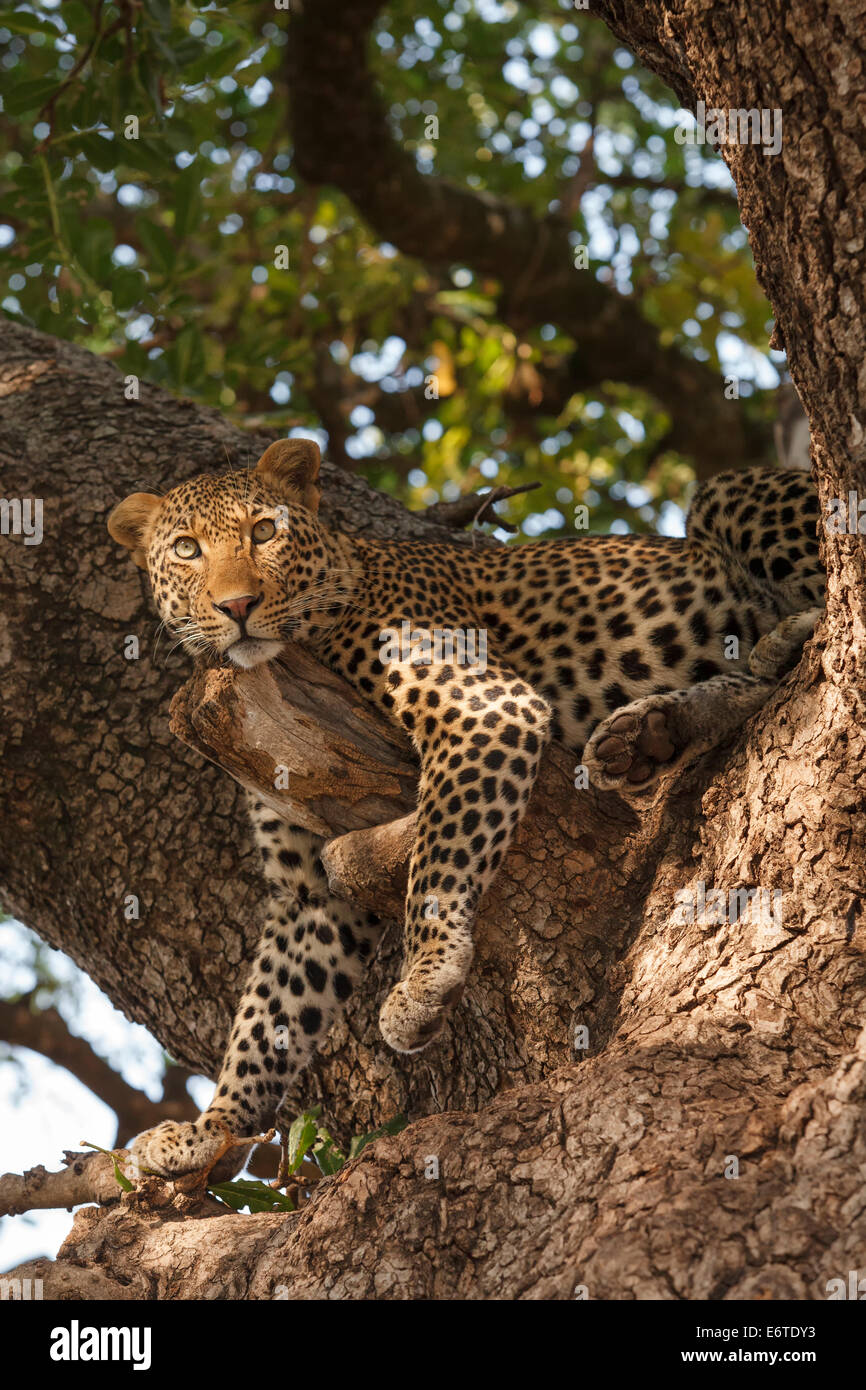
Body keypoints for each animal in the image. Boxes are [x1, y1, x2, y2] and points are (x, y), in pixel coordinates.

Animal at [107, 438, 825, 1179]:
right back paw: (649, 734)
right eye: (187, 550)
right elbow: (269, 1012)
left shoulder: (480, 705)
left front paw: (424, 979)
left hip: (727, 494)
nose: (238, 605)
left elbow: (437, 856)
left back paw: (766, 648)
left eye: (264, 532)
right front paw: (208, 1128)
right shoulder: (307, 887)